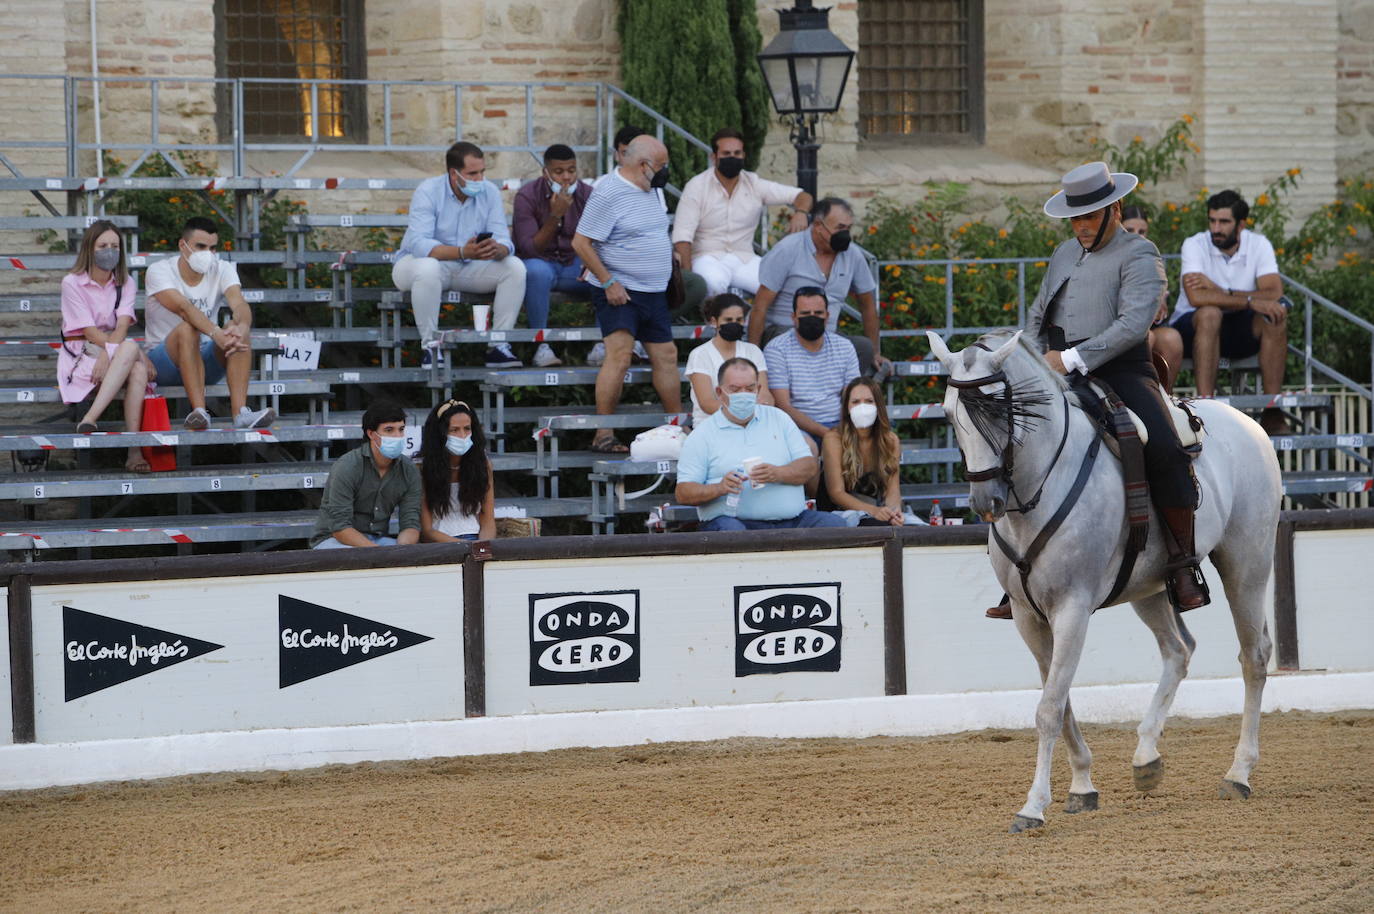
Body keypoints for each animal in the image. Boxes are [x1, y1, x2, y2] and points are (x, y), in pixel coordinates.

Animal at [928, 329, 1280, 835]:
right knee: (1178, 650)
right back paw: (1146, 757)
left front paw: (1033, 806)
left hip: (1246, 564)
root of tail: (1248, 425)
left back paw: (1238, 774)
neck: (1037, 488)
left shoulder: (1072, 609)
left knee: (1253, 658)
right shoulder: (1027, 617)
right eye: (947, 411)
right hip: (1150, 587)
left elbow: (1049, 708)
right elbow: (1061, 701)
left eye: (998, 409)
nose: (984, 500)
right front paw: (1081, 786)